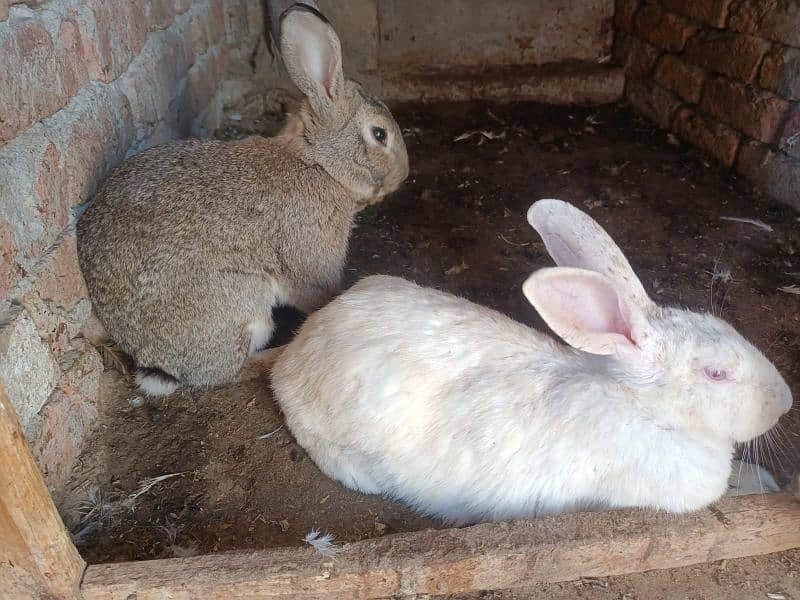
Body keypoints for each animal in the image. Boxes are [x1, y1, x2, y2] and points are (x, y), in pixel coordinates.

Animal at [77, 7, 410, 398]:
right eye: (379, 134)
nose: (403, 174)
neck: (318, 163)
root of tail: (155, 362)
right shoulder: (311, 260)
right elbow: (318, 294)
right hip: (245, 303)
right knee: (227, 373)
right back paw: (275, 356)